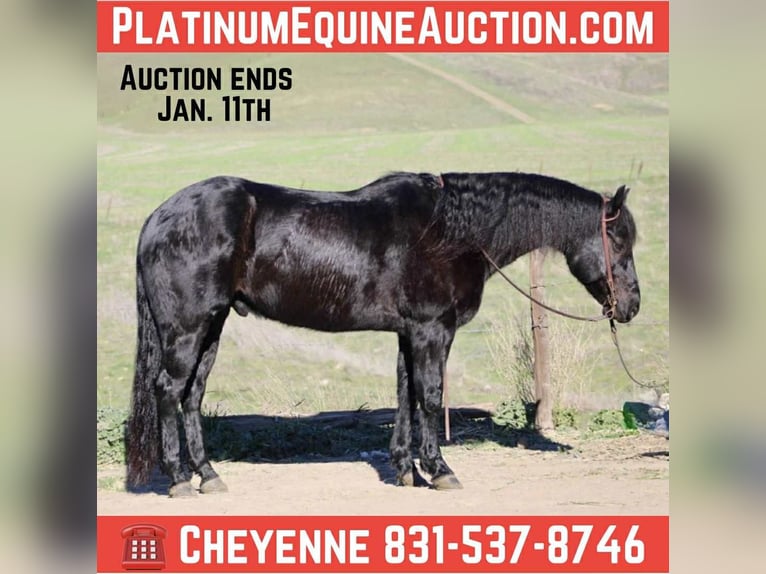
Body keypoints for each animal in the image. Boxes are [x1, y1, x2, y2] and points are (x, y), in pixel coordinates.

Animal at [126, 171, 640, 497]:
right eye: (619, 242)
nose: (631, 305)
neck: (449, 230)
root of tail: (159, 217)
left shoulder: (409, 333)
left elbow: (406, 395)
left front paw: (407, 471)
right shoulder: (432, 330)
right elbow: (429, 398)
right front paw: (439, 470)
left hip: (211, 327)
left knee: (192, 396)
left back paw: (208, 476)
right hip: (188, 328)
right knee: (168, 391)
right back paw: (179, 480)